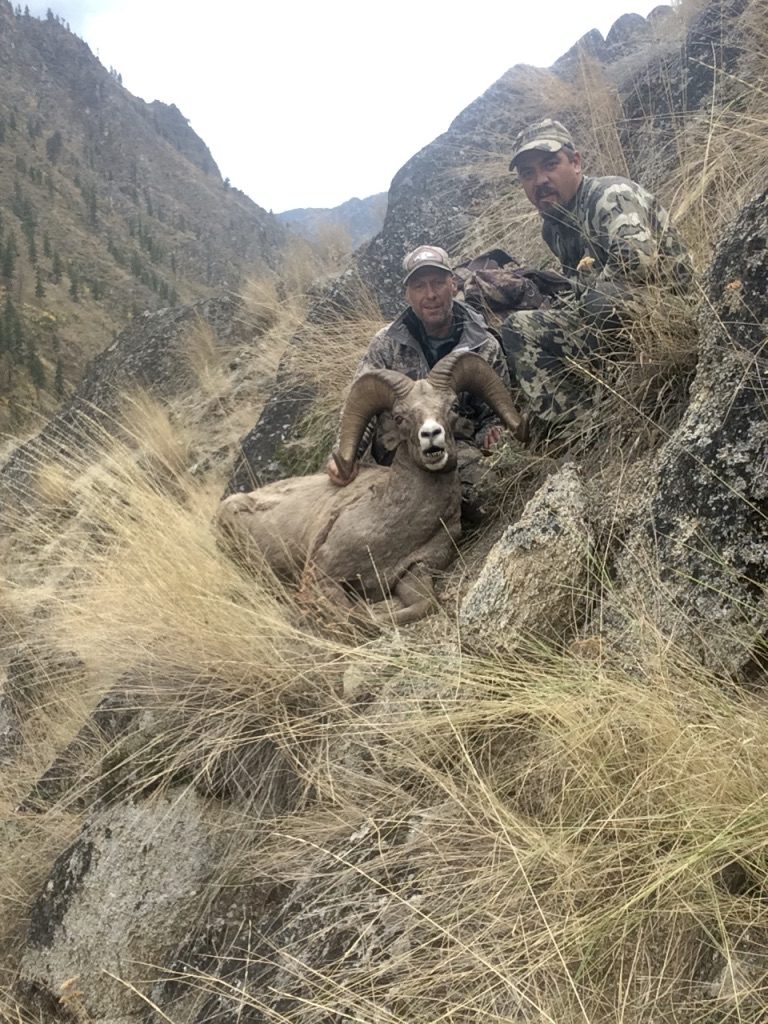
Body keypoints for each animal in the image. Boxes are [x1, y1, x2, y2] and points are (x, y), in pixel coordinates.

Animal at [219, 352, 528, 622]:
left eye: (452, 407)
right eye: (400, 417)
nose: (431, 435)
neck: (394, 526)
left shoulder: (415, 571)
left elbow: (421, 604)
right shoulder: (322, 576)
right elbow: (352, 617)